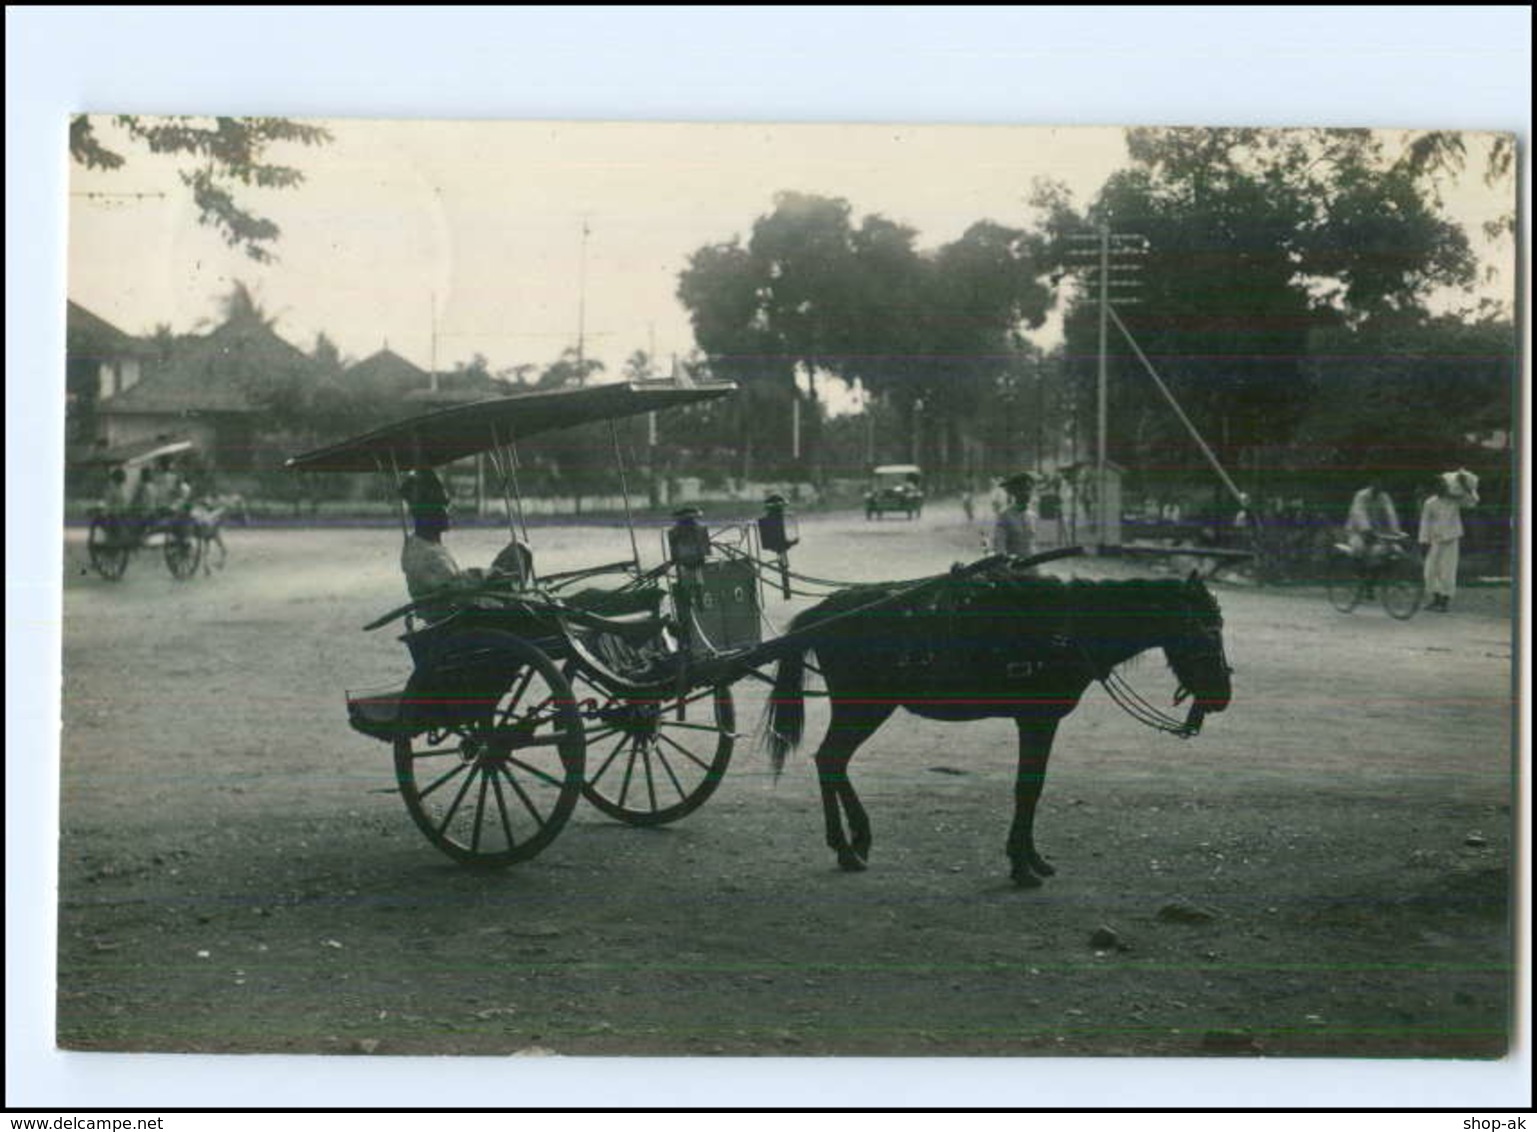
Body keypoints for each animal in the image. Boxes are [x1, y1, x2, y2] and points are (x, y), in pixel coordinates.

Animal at [765, 566, 1235, 885]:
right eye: (1204, 630)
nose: (1222, 696)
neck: (1069, 627)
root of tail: (825, 612)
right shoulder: (1037, 720)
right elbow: (1028, 787)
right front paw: (1022, 865)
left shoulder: (1039, 721)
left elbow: (1033, 787)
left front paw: (1032, 858)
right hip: (862, 707)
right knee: (830, 759)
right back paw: (846, 847)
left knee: (834, 761)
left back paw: (856, 839)